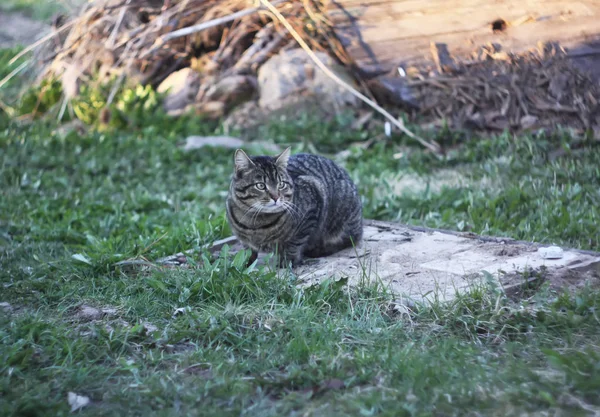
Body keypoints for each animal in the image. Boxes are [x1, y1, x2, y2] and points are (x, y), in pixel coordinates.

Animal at [225, 147, 364, 266]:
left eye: (281, 184)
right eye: (260, 186)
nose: (276, 197)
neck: (254, 223)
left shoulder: (311, 206)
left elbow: (294, 243)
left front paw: (288, 261)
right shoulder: (244, 240)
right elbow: (247, 252)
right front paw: (245, 263)